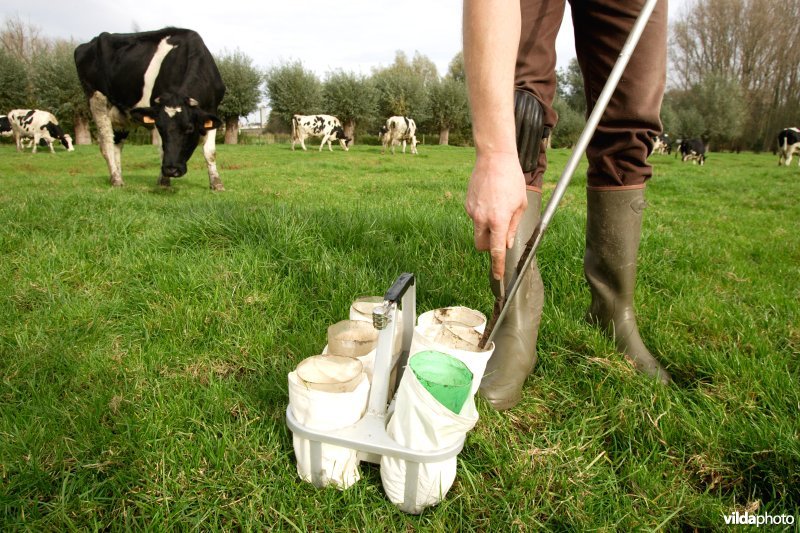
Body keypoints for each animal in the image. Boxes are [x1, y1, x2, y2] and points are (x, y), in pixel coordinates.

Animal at [74, 28, 225, 189]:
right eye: (161, 127)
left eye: (189, 128)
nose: (171, 169)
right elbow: (161, 150)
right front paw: (164, 181)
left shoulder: (212, 110)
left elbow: (210, 151)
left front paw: (216, 183)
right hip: (97, 100)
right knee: (106, 143)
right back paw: (115, 179)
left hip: (120, 116)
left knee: (117, 146)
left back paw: (119, 178)